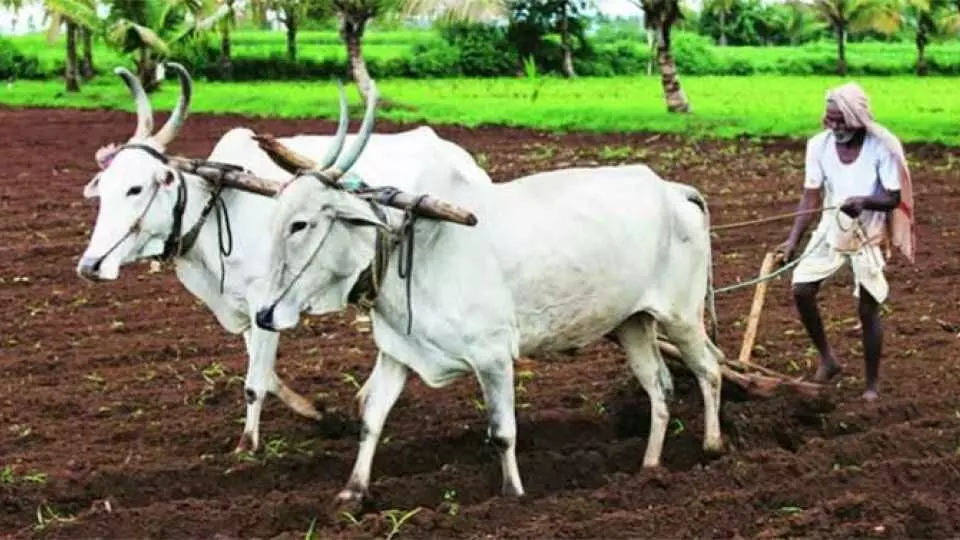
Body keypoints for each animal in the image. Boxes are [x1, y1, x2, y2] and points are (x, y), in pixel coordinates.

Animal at [75, 62, 492, 452]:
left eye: (135, 188)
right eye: (104, 188)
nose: (90, 265)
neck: (219, 208)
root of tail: (467, 162)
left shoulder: (266, 299)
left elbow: (254, 383)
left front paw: (247, 445)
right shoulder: (247, 311)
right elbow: (267, 375)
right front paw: (320, 414)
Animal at [251, 83, 724, 502]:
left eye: (300, 224)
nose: (264, 314)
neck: (412, 248)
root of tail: (673, 189)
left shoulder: (493, 356)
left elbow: (502, 433)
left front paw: (512, 496)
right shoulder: (397, 353)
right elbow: (372, 417)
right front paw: (352, 492)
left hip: (682, 316)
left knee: (709, 370)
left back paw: (713, 447)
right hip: (632, 322)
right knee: (660, 386)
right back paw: (649, 468)